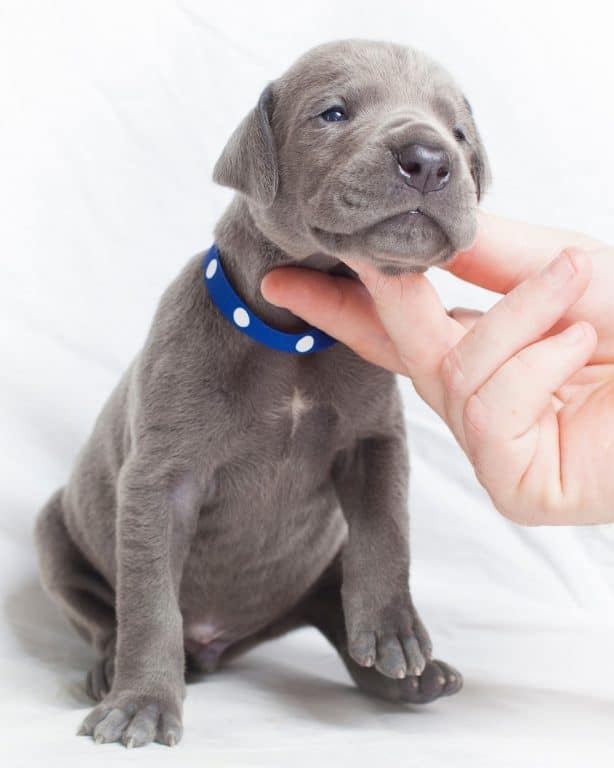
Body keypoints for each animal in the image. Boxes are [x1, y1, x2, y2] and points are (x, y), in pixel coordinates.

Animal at [36, 39, 494, 748]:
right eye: (333, 113)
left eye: (460, 132)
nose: (429, 157)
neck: (295, 340)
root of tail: (217, 644)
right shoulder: (159, 482)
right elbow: (149, 602)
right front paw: (141, 703)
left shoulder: (375, 439)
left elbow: (387, 529)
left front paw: (392, 628)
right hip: (52, 531)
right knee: (100, 612)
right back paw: (109, 669)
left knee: (334, 603)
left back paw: (405, 673)